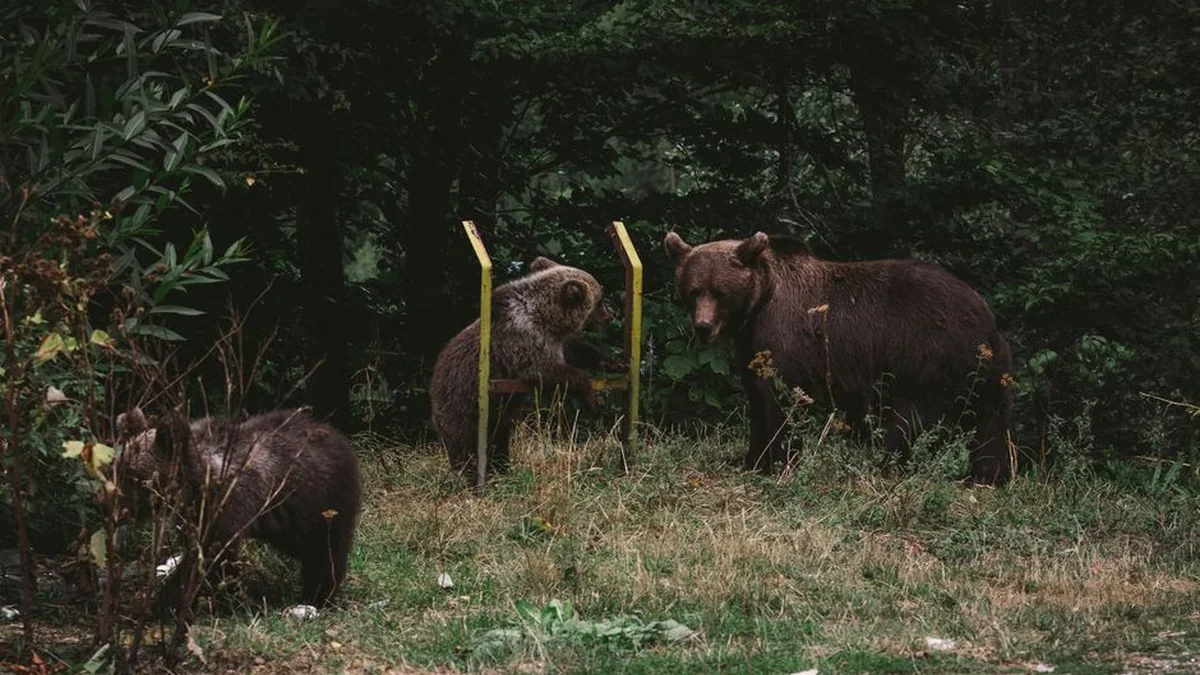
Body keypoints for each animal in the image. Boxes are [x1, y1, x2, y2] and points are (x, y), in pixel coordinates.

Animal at [114, 406, 362, 609]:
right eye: (118, 470)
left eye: (135, 478)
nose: (114, 510)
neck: (195, 482)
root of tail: (338, 435)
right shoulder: (193, 515)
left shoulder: (226, 505)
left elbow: (213, 557)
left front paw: (162, 603)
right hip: (292, 520)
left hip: (324, 501)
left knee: (326, 550)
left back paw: (319, 596)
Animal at [430, 256, 614, 480]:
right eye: (600, 299)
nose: (611, 313)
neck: (547, 318)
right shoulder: (523, 341)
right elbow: (548, 372)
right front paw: (591, 399)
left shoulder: (555, 342)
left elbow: (575, 352)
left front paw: (610, 361)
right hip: (463, 407)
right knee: (466, 447)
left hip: (497, 417)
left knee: (499, 441)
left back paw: (500, 468)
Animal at [664, 230, 1014, 485]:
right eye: (693, 290)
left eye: (720, 292)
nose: (703, 327)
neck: (759, 302)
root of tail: (986, 315)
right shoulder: (750, 345)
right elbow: (757, 396)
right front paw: (752, 459)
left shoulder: (782, 334)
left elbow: (778, 398)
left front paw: (777, 461)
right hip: (986, 370)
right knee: (990, 420)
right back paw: (988, 475)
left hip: (928, 352)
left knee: (909, 417)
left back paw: (884, 466)